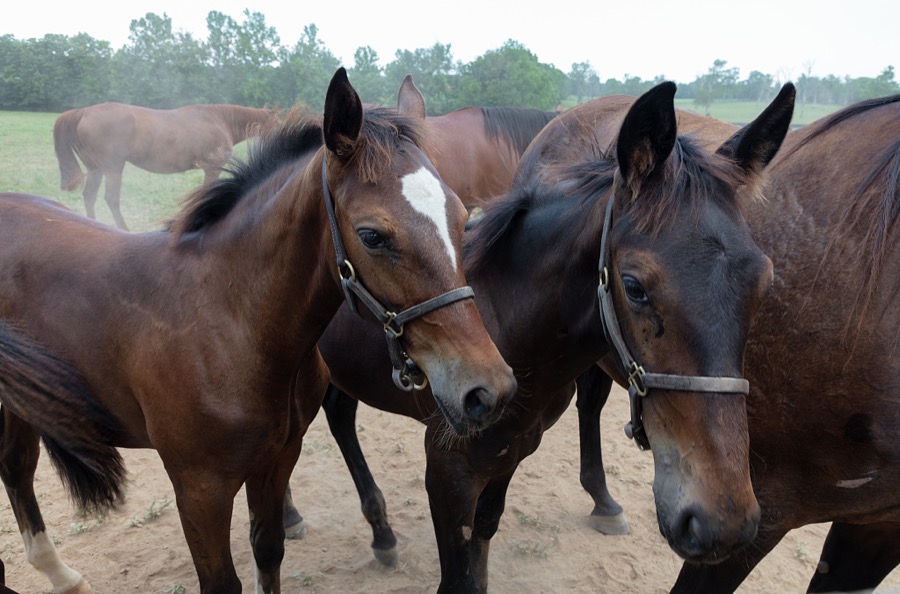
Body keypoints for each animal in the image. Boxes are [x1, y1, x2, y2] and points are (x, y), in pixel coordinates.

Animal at [53, 101, 278, 230]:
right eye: (279, 122)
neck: (220, 120)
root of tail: (83, 112)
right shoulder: (212, 168)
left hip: (96, 169)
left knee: (89, 196)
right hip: (113, 169)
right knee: (111, 199)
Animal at [282, 81, 797, 591]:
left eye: (764, 281)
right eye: (634, 286)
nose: (721, 521)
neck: (508, 324)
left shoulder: (513, 450)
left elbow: (484, 538)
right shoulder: (448, 470)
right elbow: (458, 575)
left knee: (339, 414)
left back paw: (380, 533)